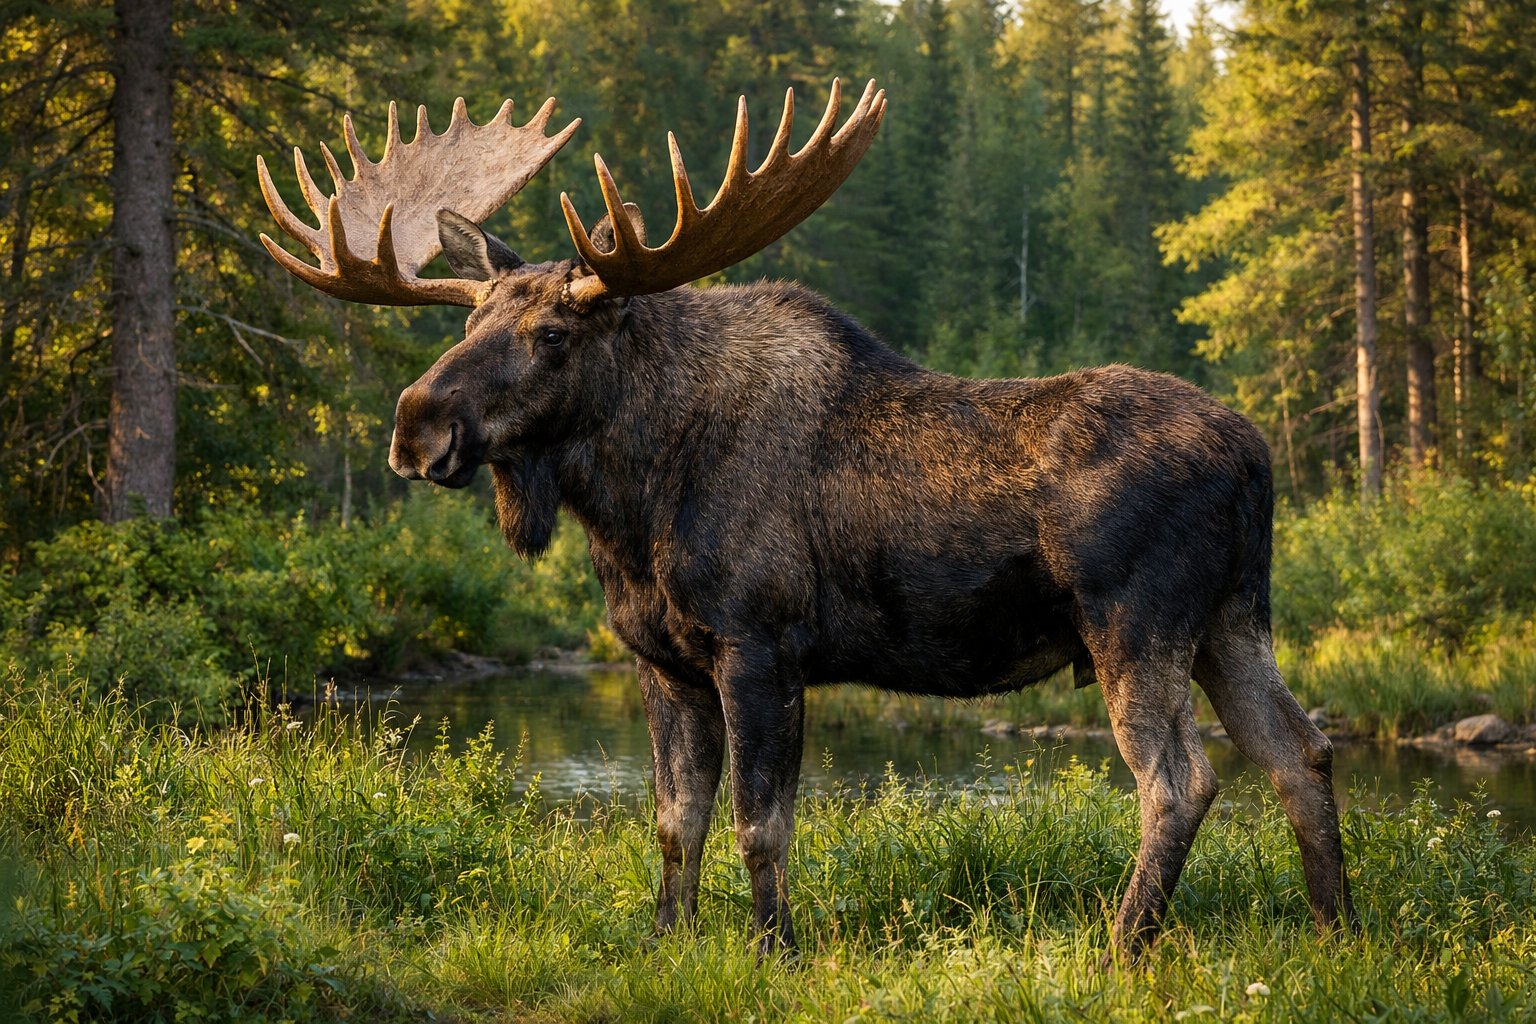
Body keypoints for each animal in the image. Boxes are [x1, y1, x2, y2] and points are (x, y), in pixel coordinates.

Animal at [257, 81, 1357, 961]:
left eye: (554, 333)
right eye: (469, 320)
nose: (416, 424)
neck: (631, 508)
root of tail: (1256, 457)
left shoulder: (762, 644)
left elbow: (760, 823)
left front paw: (772, 950)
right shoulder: (663, 662)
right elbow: (675, 821)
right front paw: (666, 939)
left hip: (1136, 623)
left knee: (1180, 779)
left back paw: (1125, 944)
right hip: (1232, 620)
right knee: (1300, 750)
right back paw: (1335, 930)